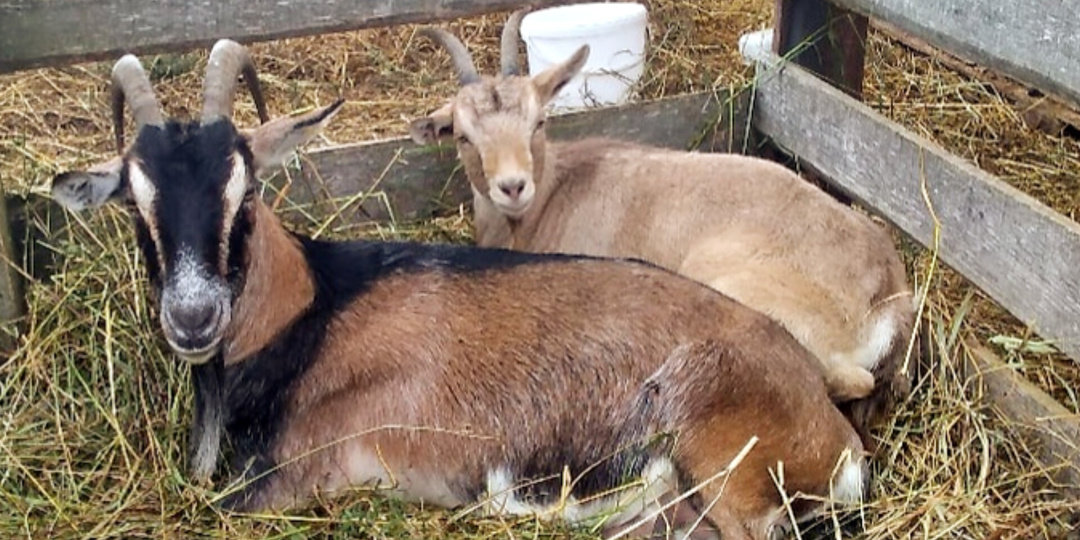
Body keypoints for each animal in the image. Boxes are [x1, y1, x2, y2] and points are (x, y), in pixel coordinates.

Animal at [53, 40, 868, 539]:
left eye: (245, 191)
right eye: (135, 203)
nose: (192, 318)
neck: (314, 310)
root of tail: (833, 428)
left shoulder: (300, 473)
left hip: (726, 465)